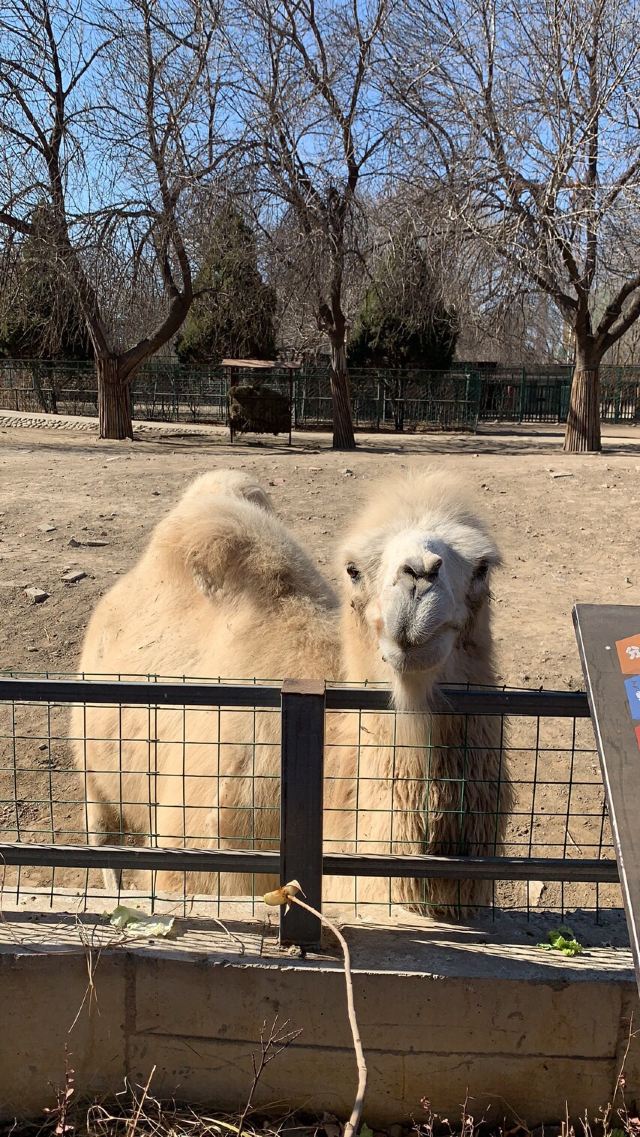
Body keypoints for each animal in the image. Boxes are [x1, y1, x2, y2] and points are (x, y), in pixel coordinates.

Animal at [72, 466, 513, 918]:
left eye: (483, 568)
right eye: (353, 569)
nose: (419, 577)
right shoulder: (192, 865)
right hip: (90, 754)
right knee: (103, 835)